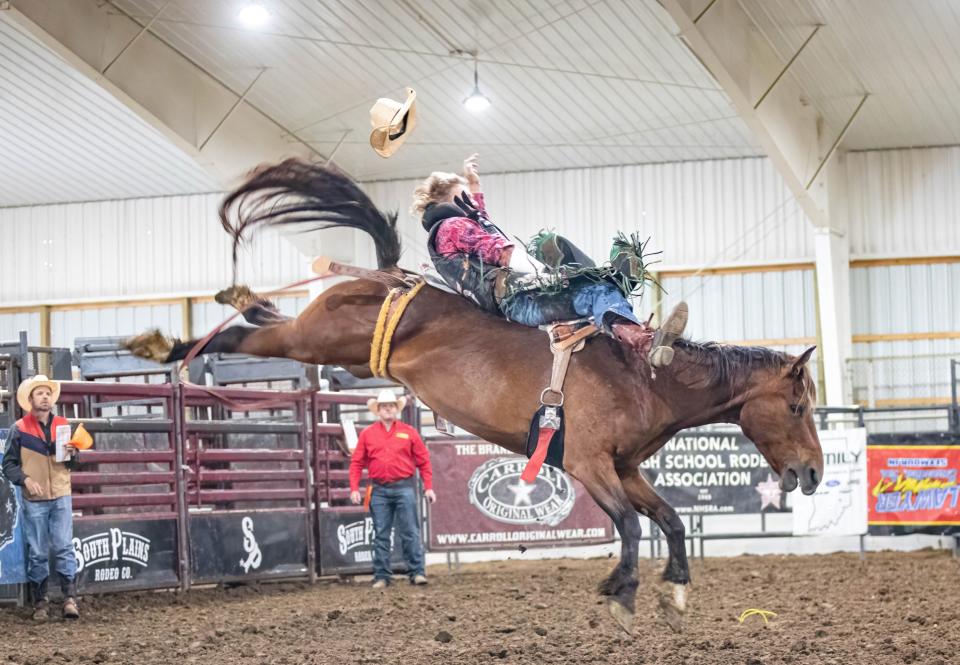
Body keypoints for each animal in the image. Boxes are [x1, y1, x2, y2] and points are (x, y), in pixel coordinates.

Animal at [124, 160, 820, 632]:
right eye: (797, 406)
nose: (812, 472)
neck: (643, 376)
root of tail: (388, 277)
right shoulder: (589, 463)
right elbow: (626, 524)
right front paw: (622, 594)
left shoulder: (624, 467)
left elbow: (669, 520)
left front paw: (674, 593)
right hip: (319, 339)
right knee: (254, 334)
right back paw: (163, 342)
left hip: (332, 346)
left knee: (264, 321)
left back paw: (228, 303)